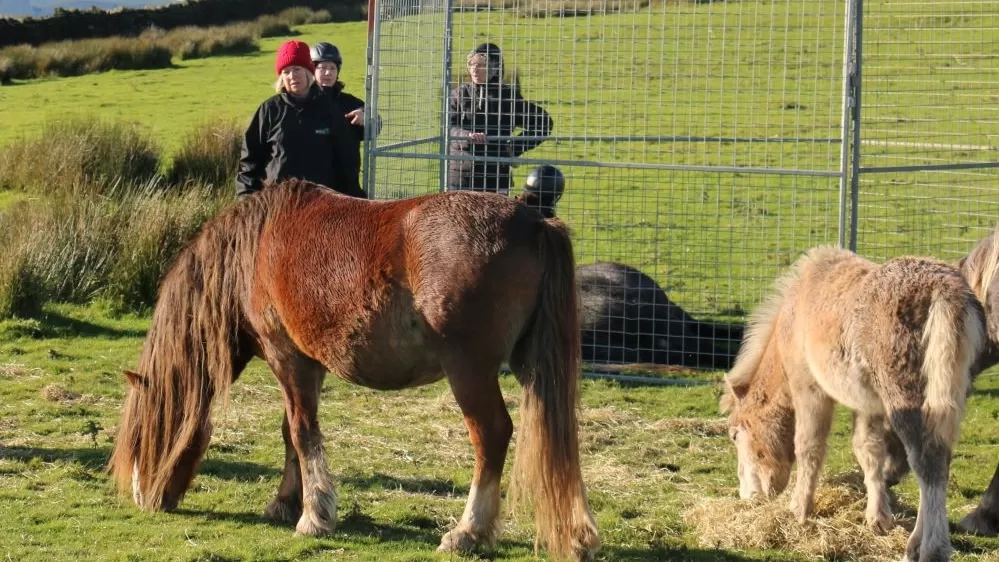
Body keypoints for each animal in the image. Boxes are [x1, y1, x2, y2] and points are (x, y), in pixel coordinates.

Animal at [724, 245, 988, 560]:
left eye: (735, 436)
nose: (748, 496)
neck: (796, 309)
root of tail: (944, 291)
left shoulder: (809, 390)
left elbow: (808, 447)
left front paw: (799, 510)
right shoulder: (868, 406)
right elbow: (869, 452)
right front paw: (877, 519)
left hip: (906, 399)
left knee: (927, 461)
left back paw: (928, 548)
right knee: (940, 462)